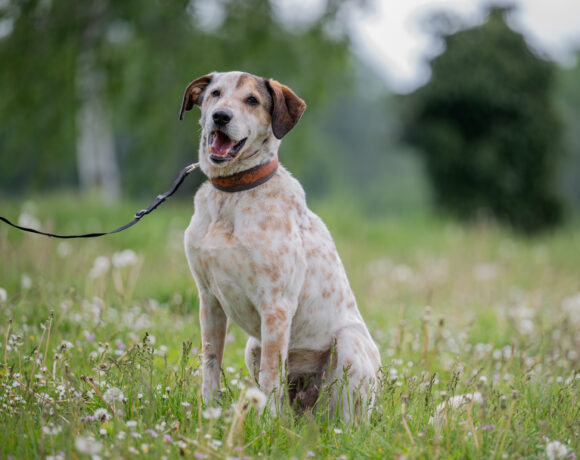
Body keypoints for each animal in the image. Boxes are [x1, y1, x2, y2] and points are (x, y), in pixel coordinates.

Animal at [181, 71, 380, 420]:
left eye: (252, 100)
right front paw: (209, 413)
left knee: (345, 419)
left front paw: (265, 423)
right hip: (253, 346)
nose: (221, 116)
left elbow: (270, 376)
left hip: (348, 346)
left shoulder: (276, 305)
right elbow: (211, 364)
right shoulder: (209, 300)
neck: (232, 195)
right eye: (215, 93)